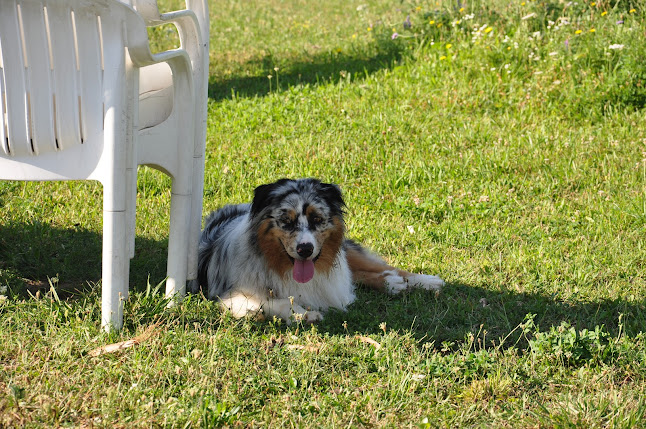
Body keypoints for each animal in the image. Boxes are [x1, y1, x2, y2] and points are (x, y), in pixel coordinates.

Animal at [191, 177, 446, 320]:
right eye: (286, 221)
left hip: (346, 251)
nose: (305, 249)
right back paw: (393, 283)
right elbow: (270, 303)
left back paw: (424, 281)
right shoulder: (232, 295)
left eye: (317, 219)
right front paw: (305, 314)